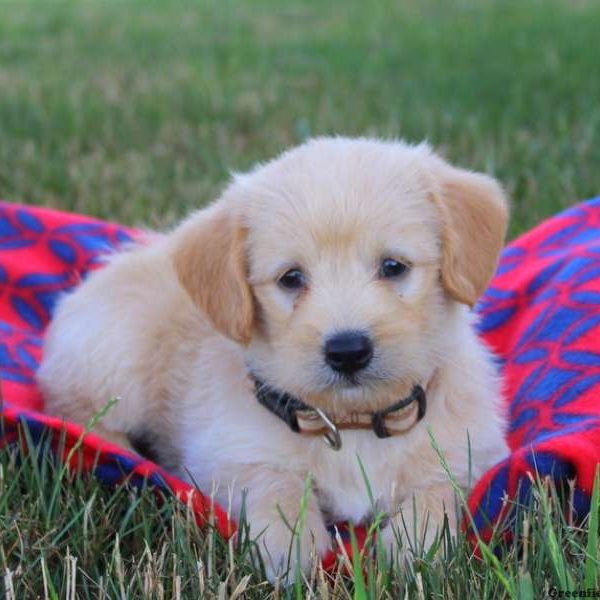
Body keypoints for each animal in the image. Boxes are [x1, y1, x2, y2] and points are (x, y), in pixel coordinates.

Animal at [37, 138, 508, 580]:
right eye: (291, 278)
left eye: (394, 266)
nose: (348, 351)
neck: (352, 424)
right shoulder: (225, 454)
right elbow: (273, 484)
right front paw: (293, 545)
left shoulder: (476, 453)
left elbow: (441, 489)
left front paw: (415, 545)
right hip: (114, 361)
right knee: (74, 412)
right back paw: (122, 455)